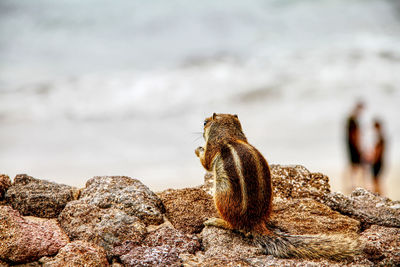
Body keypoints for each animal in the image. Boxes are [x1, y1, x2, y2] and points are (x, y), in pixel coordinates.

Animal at [195, 113, 360, 262]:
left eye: (204, 123)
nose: (202, 126)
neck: (230, 135)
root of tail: (254, 222)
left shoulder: (212, 148)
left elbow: (206, 163)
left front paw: (198, 149)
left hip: (221, 197)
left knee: (234, 226)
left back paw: (215, 221)